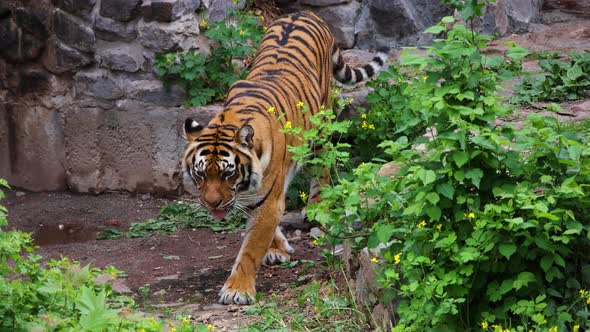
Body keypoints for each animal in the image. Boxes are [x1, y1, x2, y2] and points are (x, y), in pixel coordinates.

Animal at [185, 11, 388, 304]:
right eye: (201, 173)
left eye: (228, 173)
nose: (212, 205)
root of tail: (303, 12)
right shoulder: (257, 197)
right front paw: (277, 248)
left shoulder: (268, 200)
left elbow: (251, 248)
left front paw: (237, 290)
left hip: (322, 125)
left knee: (322, 167)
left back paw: (316, 207)